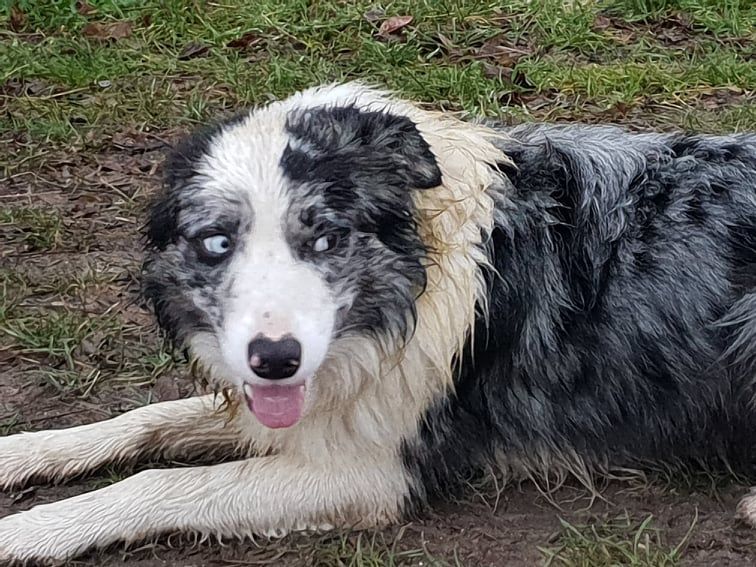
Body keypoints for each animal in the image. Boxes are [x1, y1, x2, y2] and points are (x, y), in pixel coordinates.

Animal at [1, 82, 756, 564]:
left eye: (327, 237)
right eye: (217, 242)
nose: (275, 358)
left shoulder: (372, 470)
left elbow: (165, 482)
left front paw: (35, 530)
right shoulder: (304, 402)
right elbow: (146, 420)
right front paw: (26, 453)